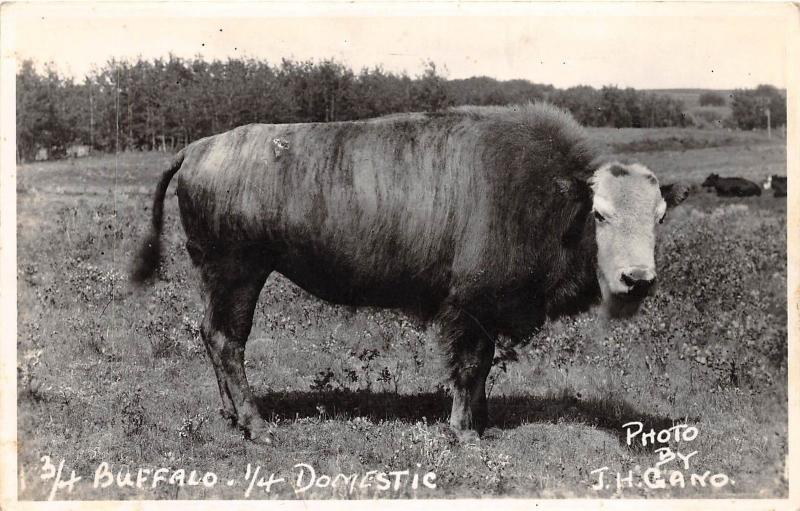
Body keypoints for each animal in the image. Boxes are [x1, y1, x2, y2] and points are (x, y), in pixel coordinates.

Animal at [130, 103, 688, 444]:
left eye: (660, 216)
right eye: (601, 214)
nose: (637, 279)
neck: (547, 197)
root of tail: (199, 147)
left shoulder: (483, 315)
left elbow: (482, 370)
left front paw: (482, 423)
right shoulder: (468, 310)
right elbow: (470, 368)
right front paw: (465, 432)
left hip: (217, 276)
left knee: (209, 334)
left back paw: (232, 417)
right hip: (239, 274)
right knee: (228, 340)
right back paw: (258, 426)